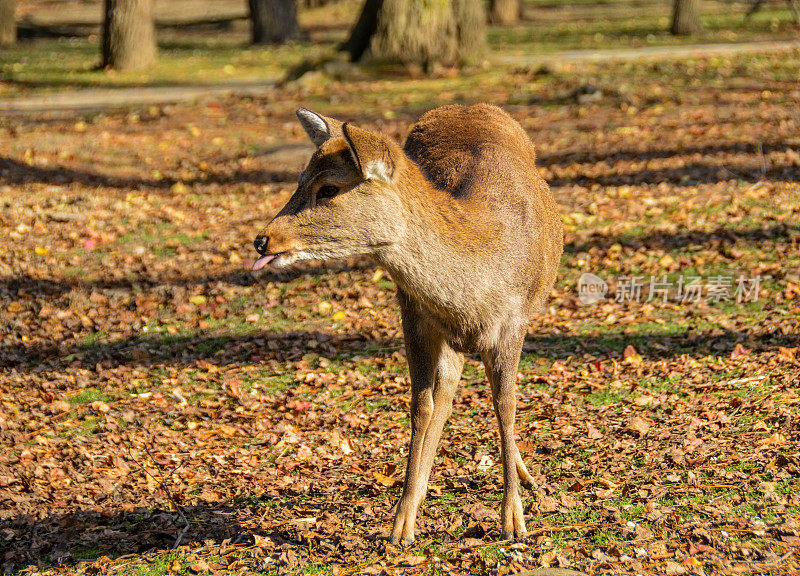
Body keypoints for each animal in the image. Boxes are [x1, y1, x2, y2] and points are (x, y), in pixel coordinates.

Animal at [252, 104, 564, 544]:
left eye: (328, 189)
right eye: (298, 179)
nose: (262, 240)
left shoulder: (513, 325)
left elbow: (505, 404)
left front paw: (514, 521)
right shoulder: (415, 320)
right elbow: (421, 406)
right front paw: (402, 522)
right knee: (446, 390)